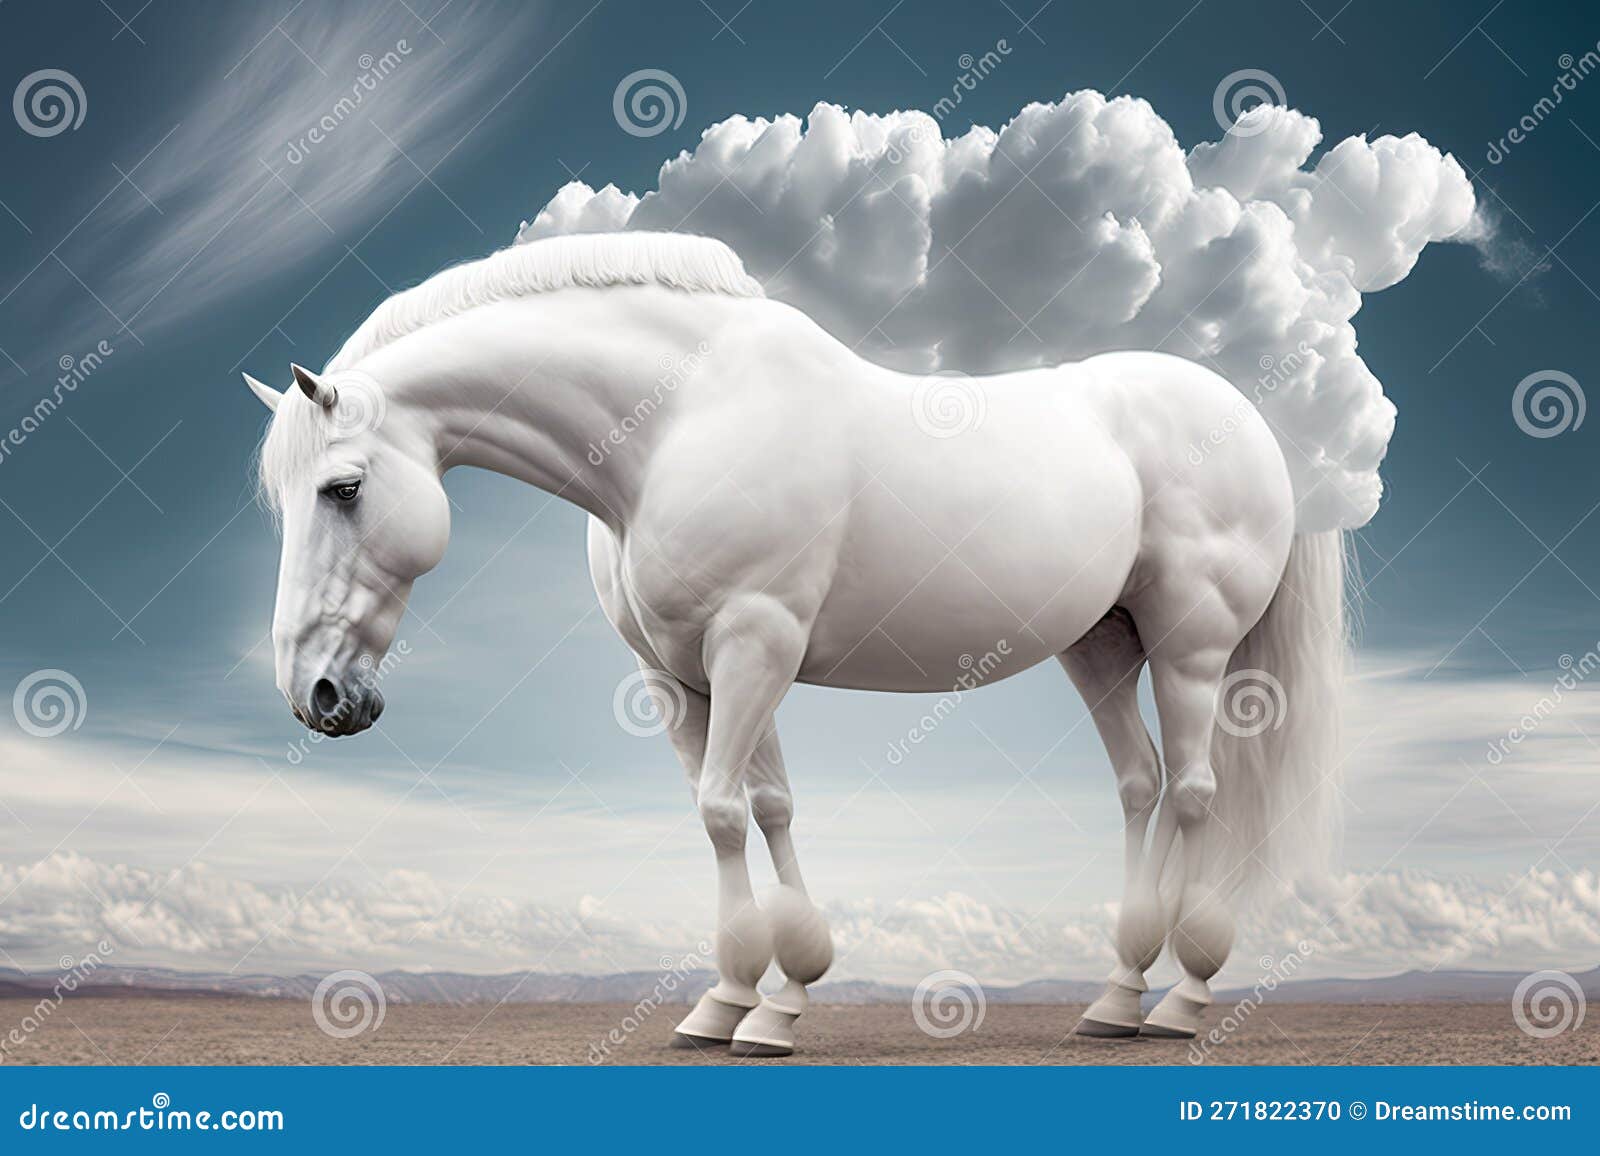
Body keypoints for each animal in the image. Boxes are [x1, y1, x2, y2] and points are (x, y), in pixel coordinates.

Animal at [246, 231, 1345, 1056]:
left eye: (342, 487)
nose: (318, 695)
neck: (674, 425)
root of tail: (1247, 422)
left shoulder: (753, 642)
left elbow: (723, 812)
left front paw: (754, 1004)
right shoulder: (681, 673)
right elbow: (762, 807)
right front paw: (757, 997)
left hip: (1192, 645)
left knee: (1195, 791)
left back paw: (1183, 998)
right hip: (1101, 644)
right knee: (1140, 783)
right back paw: (1115, 995)